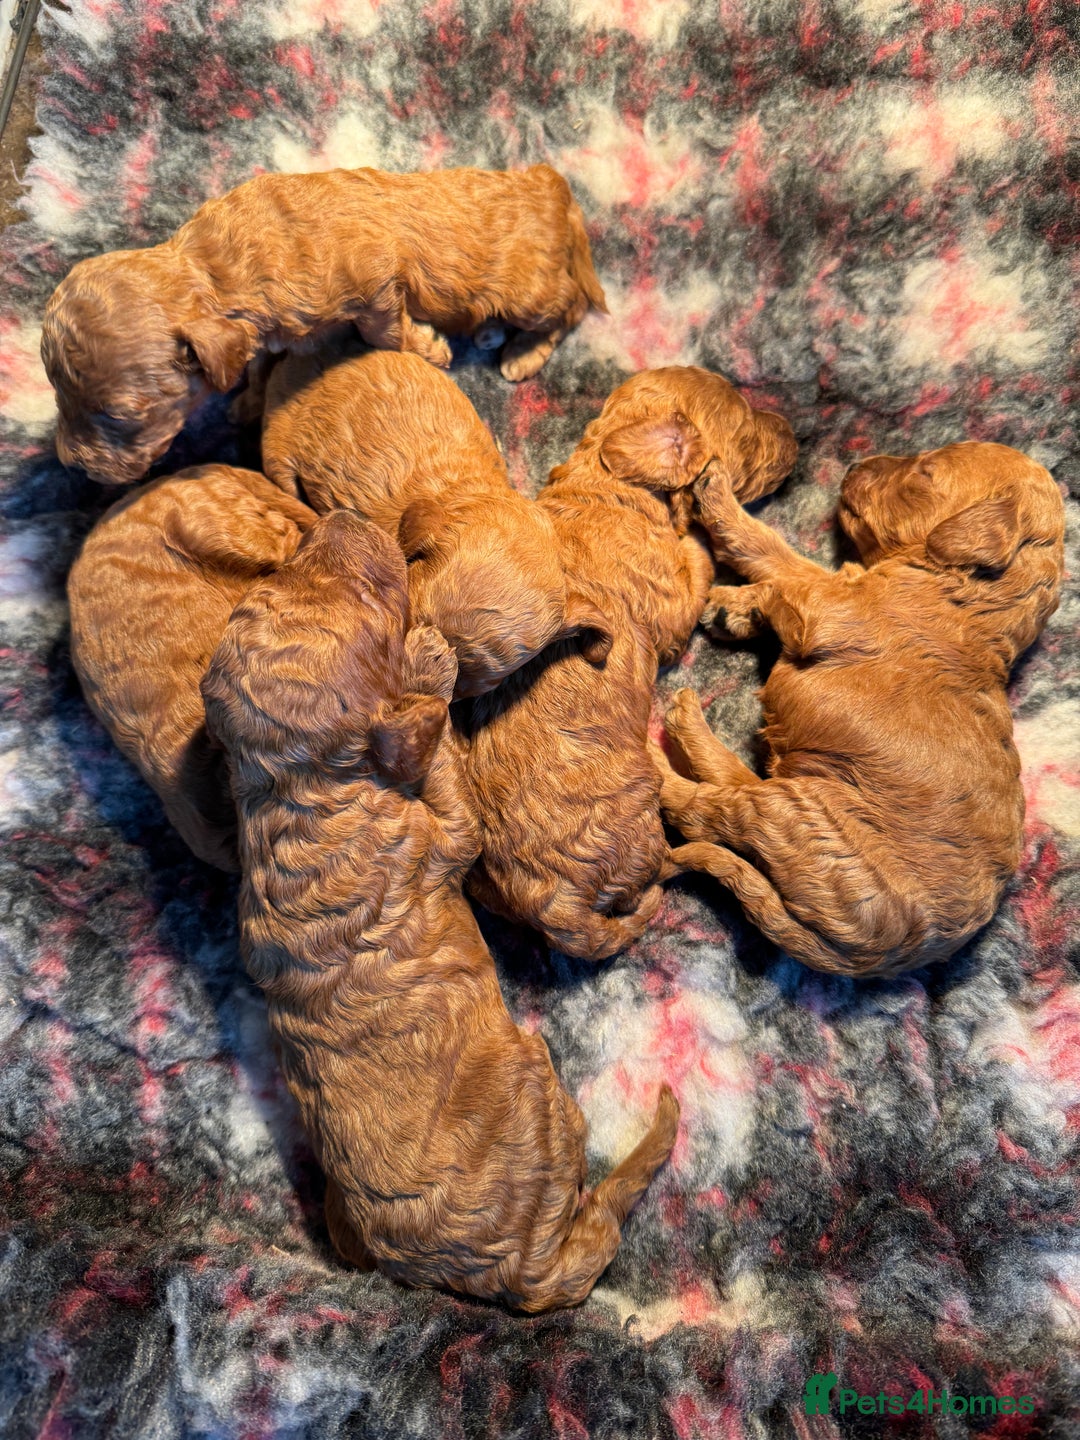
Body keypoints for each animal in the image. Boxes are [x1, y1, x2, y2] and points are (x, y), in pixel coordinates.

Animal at [41, 164, 606, 486]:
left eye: (119, 416)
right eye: (57, 391)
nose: (70, 464)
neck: (212, 269)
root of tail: (552, 182)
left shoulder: (376, 284)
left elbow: (386, 332)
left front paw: (430, 347)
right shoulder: (270, 328)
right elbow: (260, 363)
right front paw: (247, 399)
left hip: (530, 290)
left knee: (571, 306)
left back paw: (522, 352)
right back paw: (490, 332)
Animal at [200, 510, 679, 1311]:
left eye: (285, 577)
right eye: (373, 605)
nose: (346, 518)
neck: (292, 797)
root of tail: (517, 1278)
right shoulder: (438, 837)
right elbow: (444, 769)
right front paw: (430, 661)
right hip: (539, 1086)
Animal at [461, 366, 797, 960]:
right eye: (746, 429)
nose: (796, 435)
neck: (610, 484)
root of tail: (557, 912)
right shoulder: (673, 603)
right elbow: (695, 563)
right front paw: (699, 528)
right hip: (643, 825)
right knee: (663, 872)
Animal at [656, 441, 1065, 976]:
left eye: (925, 472)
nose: (854, 467)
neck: (974, 598)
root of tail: (875, 955)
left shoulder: (833, 608)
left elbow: (780, 557)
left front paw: (720, 502)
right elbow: (787, 573)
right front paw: (737, 609)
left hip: (805, 815)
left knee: (706, 810)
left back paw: (660, 750)